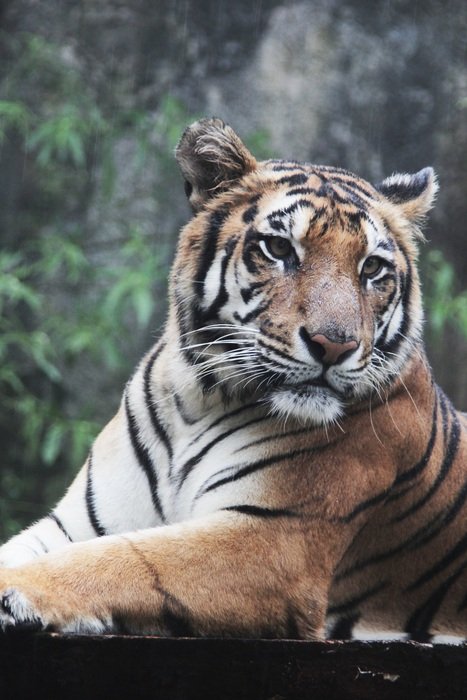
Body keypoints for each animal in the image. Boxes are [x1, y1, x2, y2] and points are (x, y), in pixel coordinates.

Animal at [0, 117, 466, 643]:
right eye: (279, 248)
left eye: (372, 268)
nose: (334, 345)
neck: (198, 398)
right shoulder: (77, 522)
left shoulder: (272, 542)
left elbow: (130, 558)